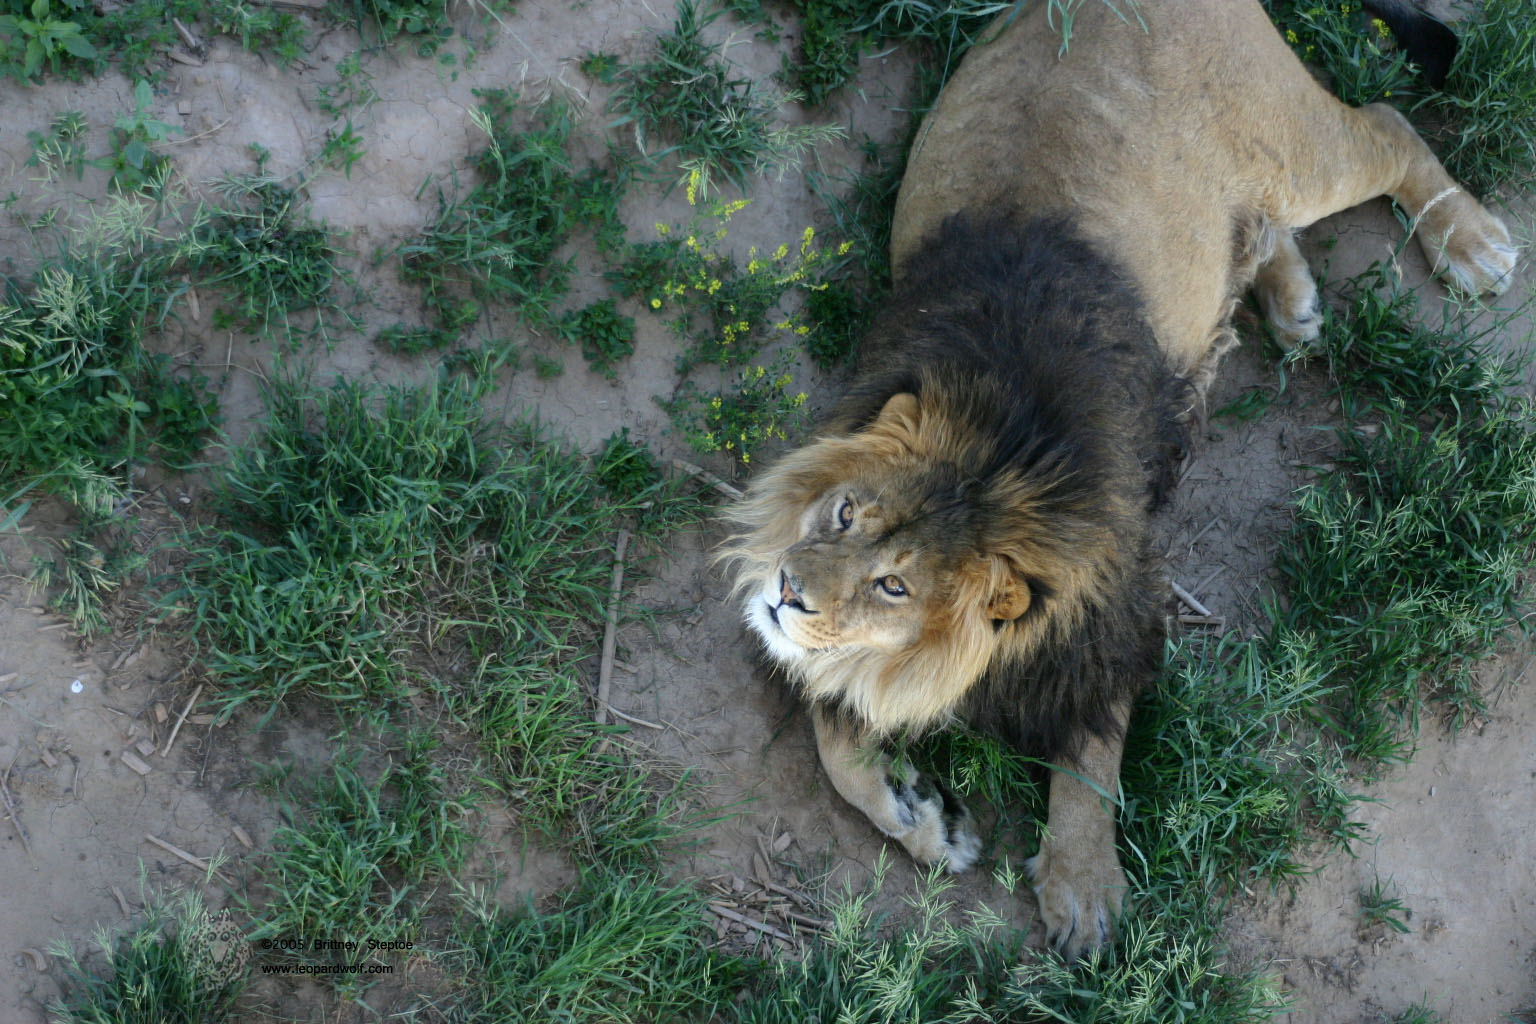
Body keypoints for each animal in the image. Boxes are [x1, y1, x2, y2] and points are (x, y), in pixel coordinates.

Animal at [718, 0, 1511, 964]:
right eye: (841, 513)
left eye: (894, 586)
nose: (787, 589)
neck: (1001, 451)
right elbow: (833, 737)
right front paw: (920, 817)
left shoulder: (1113, 613)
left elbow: (1092, 752)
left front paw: (1083, 885)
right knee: (1264, 224)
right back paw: (1292, 303)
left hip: (1296, 150)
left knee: (1390, 125)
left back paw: (1470, 243)